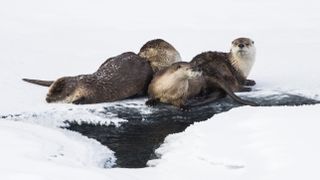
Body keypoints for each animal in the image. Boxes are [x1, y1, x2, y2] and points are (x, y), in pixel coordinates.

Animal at [23, 51, 153, 103]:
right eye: (49, 91)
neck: (84, 85)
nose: (47, 99)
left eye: (59, 95)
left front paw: (77, 102)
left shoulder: (94, 93)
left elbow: (89, 100)